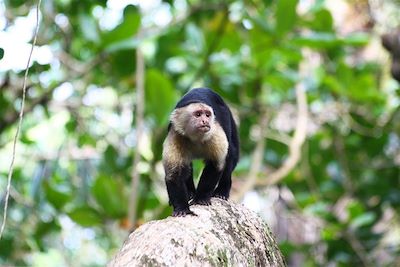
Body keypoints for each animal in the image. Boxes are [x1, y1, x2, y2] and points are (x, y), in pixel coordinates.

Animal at [162, 88, 238, 218]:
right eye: (198, 114)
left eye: (207, 115)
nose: (205, 121)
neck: (195, 138)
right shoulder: (175, 135)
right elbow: (174, 175)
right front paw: (182, 208)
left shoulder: (215, 133)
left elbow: (215, 165)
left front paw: (201, 198)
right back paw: (190, 192)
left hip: (225, 115)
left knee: (230, 153)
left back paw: (222, 190)